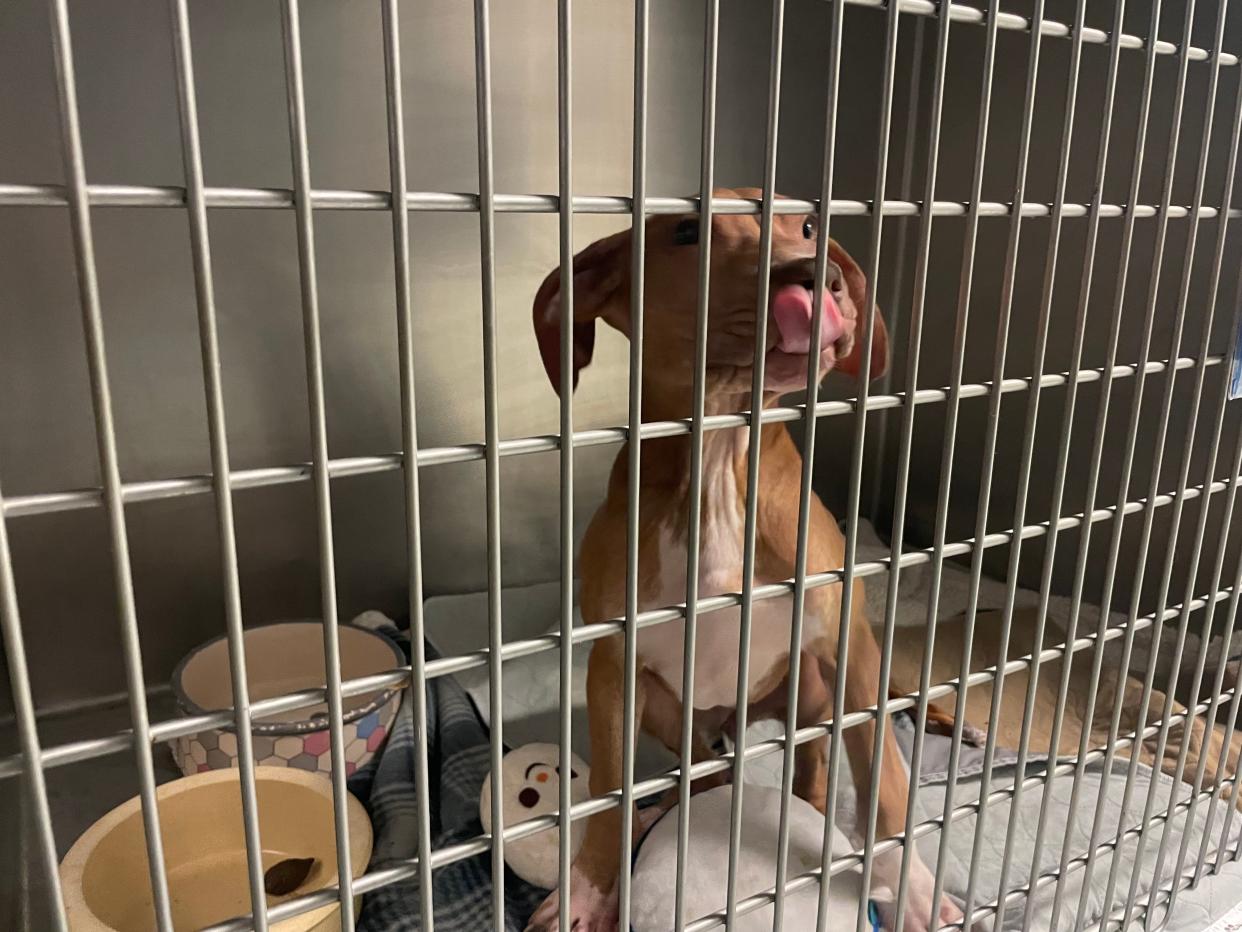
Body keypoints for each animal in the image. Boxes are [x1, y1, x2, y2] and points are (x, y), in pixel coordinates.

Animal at [524, 190, 958, 932]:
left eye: (808, 225)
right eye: (687, 232)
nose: (816, 276)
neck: (722, 456)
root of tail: (738, 717)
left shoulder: (849, 648)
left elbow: (886, 779)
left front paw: (914, 888)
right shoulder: (614, 667)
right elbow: (608, 789)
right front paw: (587, 890)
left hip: (811, 685)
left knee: (811, 769)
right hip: (666, 707)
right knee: (707, 768)